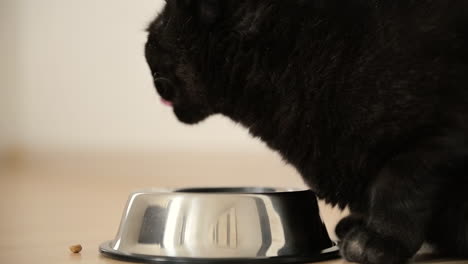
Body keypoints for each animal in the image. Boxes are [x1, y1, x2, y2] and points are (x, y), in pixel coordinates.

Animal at [144, 1, 468, 262]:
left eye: (158, 25)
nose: (145, 39)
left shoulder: (434, 139)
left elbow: (398, 189)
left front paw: (379, 240)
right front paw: (359, 224)